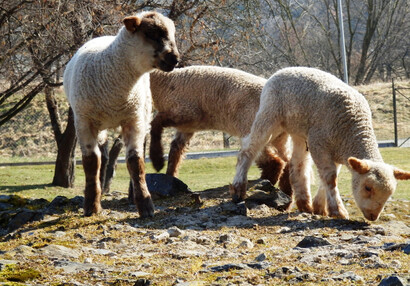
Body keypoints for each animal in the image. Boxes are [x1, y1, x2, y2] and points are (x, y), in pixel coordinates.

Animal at [63, 10, 179, 217]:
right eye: (151, 33)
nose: (175, 58)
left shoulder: (134, 120)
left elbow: (135, 162)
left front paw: (145, 205)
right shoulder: (84, 122)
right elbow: (91, 162)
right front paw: (91, 207)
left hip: (143, 112)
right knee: (102, 157)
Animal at [147, 66, 292, 197]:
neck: (163, 82)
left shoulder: (187, 111)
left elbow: (155, 123)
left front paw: (157, 162)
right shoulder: (187, 127)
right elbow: (175, 151)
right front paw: (170, 176)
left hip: (253, 125)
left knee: (273, 161)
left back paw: (263, 183)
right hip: (279, 135)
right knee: (288, 160)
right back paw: (286, 190)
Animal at [231, 67, 410, 221]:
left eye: (389, 194)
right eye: (367, 188)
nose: (373, 216)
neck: (352, 131)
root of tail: (282, 70)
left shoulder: (335, 150)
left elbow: (328, 177)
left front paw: (319, 207)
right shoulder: (319, 142)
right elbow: (330, 178)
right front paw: (337, 211)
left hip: (299, 132)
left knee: (297, 165)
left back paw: (305, 204)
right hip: (269, 115)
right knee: (248, 149)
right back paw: (238, 188)